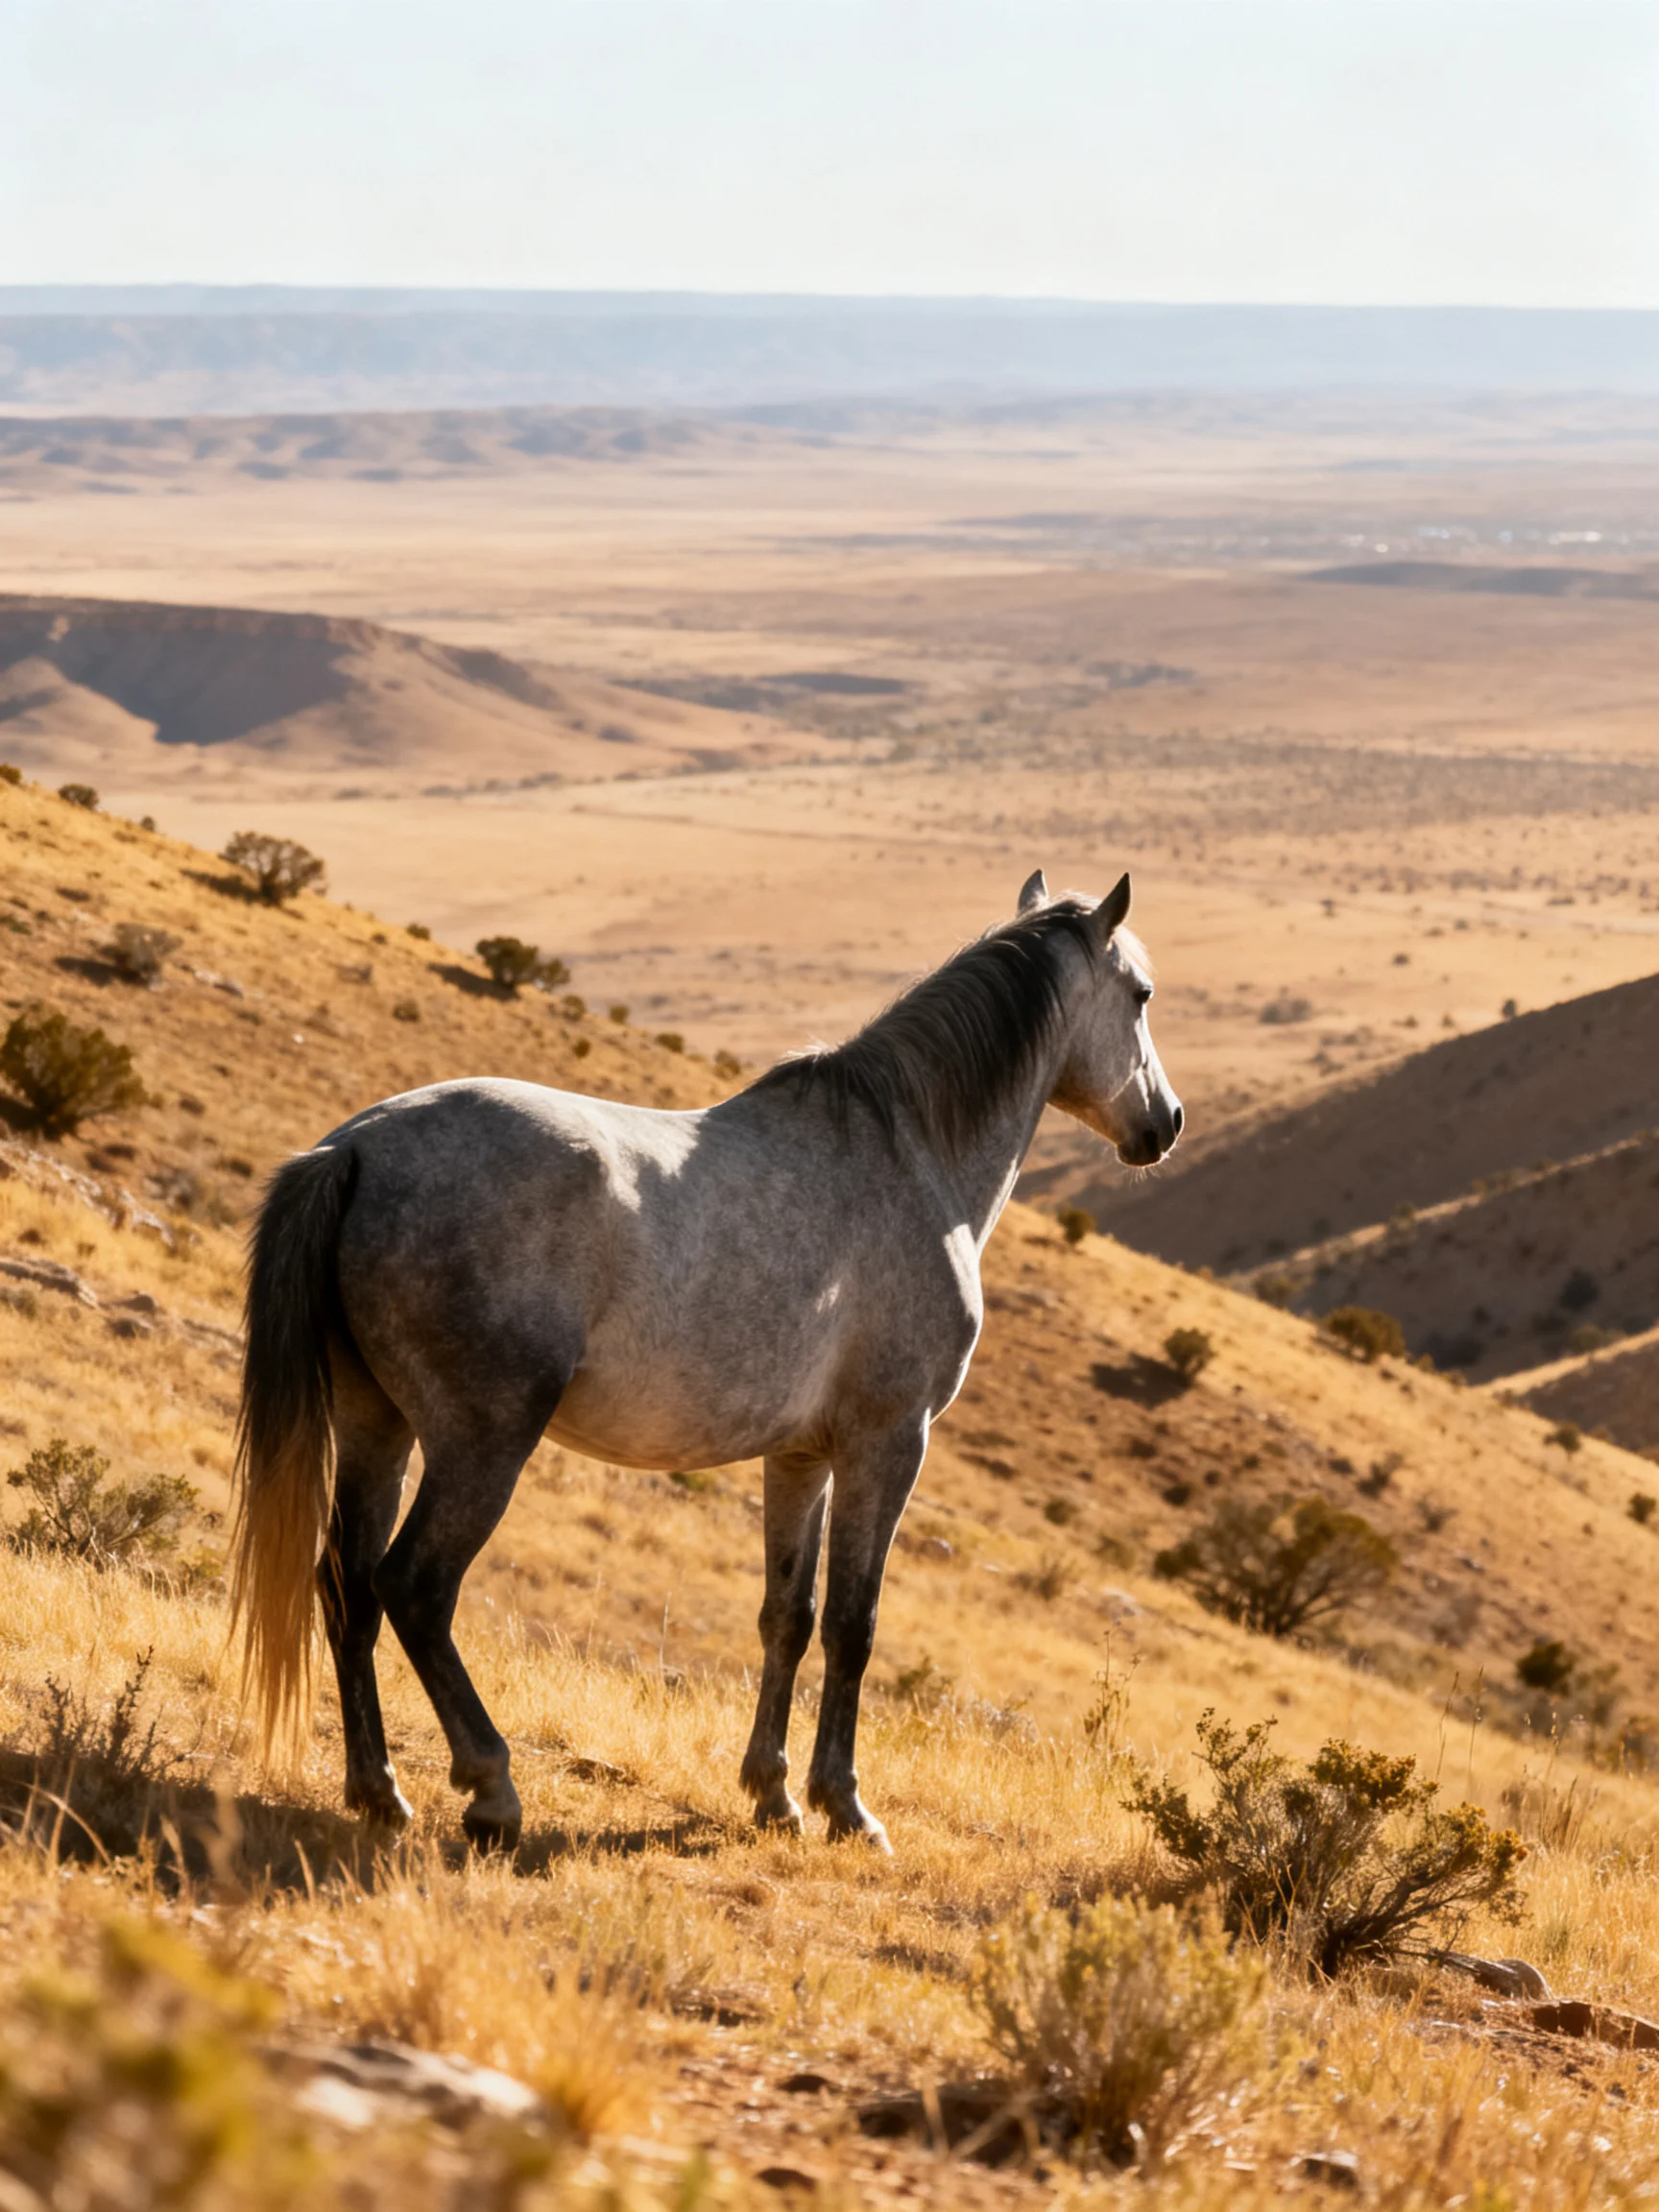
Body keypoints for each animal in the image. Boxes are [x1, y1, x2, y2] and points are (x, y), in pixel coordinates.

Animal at [232, 867, 1182, 1852]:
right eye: (1142, 996)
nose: (1166, 1123)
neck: (908, 1152)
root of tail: (352, 1149)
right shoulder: (888, 1443)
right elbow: (854, 1625)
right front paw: (846, 1806)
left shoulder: (800, 1457)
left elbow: (788, 1617)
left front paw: (774, 1794)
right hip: (481, 1442)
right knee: (413, 1588)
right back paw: (491, 1790)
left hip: (376, 1424)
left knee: (346, 1584)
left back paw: (377, 1790)